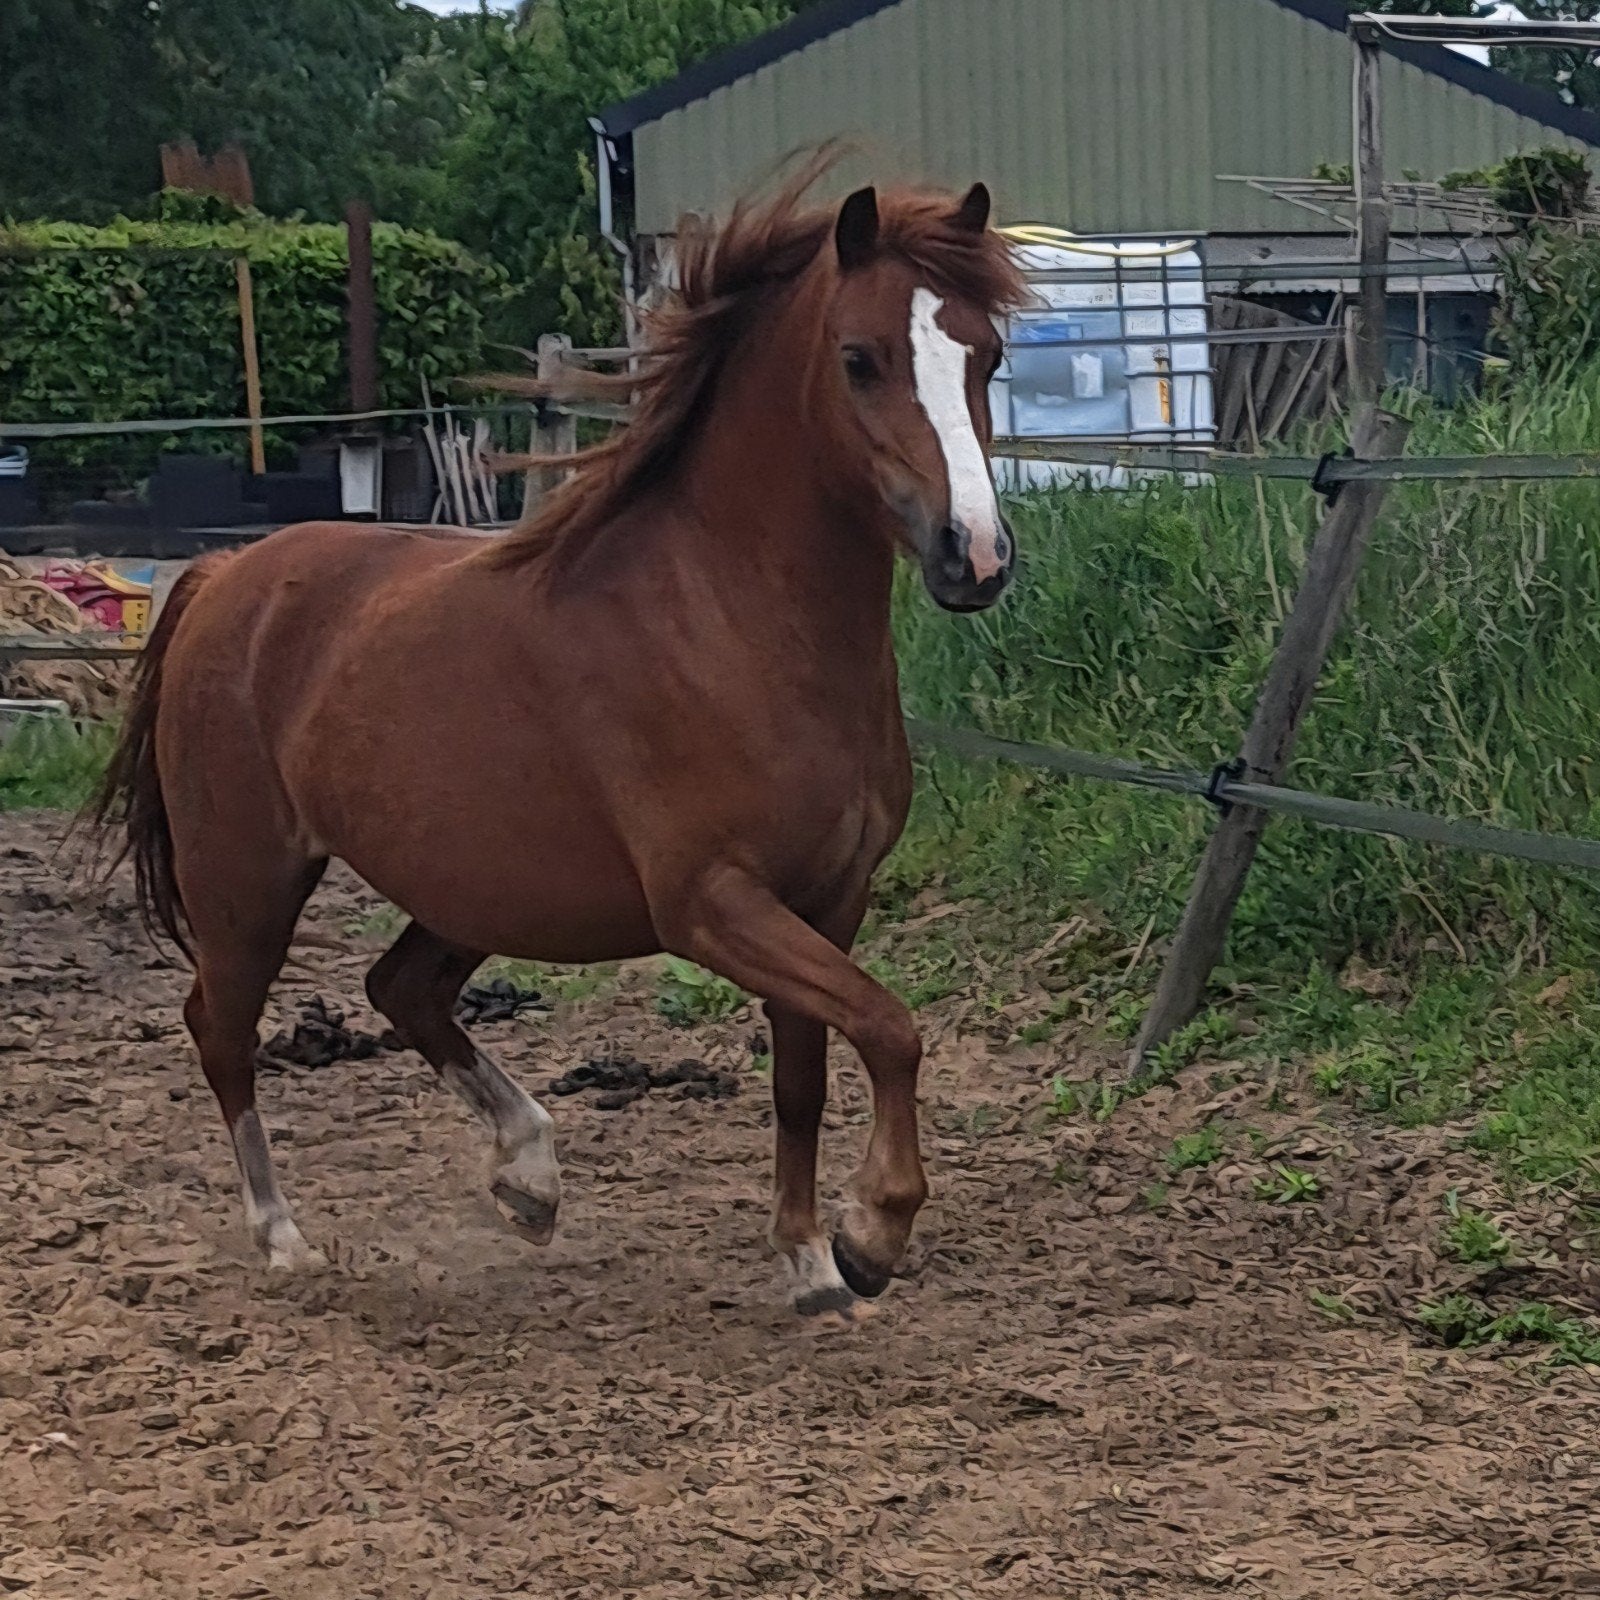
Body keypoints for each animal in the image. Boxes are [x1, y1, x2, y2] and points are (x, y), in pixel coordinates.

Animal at [96, 167, 1027, 1321]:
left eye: (987, 355)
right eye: (860, 358)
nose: (974, 555)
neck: (731, 620)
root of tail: (227, 575)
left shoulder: (829, 898)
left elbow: (806, 1075)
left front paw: (810, 1260)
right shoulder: (711, 904)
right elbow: (893, 1028)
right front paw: (872, 1234)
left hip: (472, 885)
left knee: (400, 989)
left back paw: (529, 1177)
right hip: (247, 882)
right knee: (223, 1029)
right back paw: (283, 1237)